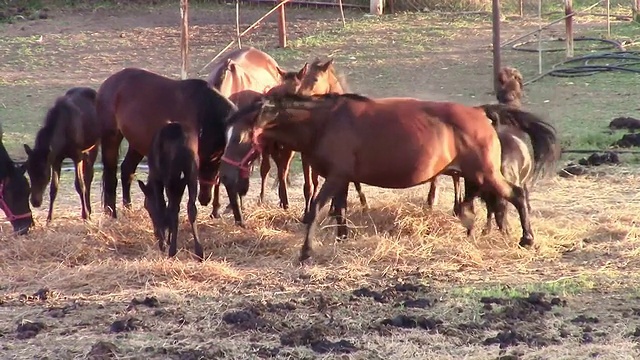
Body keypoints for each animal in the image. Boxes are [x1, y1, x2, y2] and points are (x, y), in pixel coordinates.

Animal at [23, 87, 100, 222]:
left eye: (43, 173)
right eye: (29, 171)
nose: (35, 202)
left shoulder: (77, 156)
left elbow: (80, 185)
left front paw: (85, 215)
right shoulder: (56, 159)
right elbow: (54, 188)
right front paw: (49, 218)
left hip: (95, 146)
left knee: (88, 177)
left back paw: (89, 211)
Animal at [97, 67, 240, 222]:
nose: (204, 199)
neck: (203, 110)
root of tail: (108, 83)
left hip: (136, 144)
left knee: (127, 170)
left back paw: (128, 209)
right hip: (111, 138)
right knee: (111, 176)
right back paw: (111, 214)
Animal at [138, 122, 202, 260]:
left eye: (147, 206)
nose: (156, 234)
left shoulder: (158, 179)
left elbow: (161, 206)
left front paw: (163, 242)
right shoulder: (181, 183)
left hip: (171, 177)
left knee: (173, 209)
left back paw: (172, 250)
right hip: (192, 174)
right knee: (191, 207)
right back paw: (199, 251)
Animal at [220, 91, 560, 262]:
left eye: (243, 138)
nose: (225, 175)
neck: (324, 122)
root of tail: (480, 113)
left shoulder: (336, 176)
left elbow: (316, 209)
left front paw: (306, 252)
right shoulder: (341, 178)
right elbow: (340, 210)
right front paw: (342, 238)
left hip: (485, 173)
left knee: (516, 195)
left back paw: (526, 239)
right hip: (475, 175)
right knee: (485, 202)